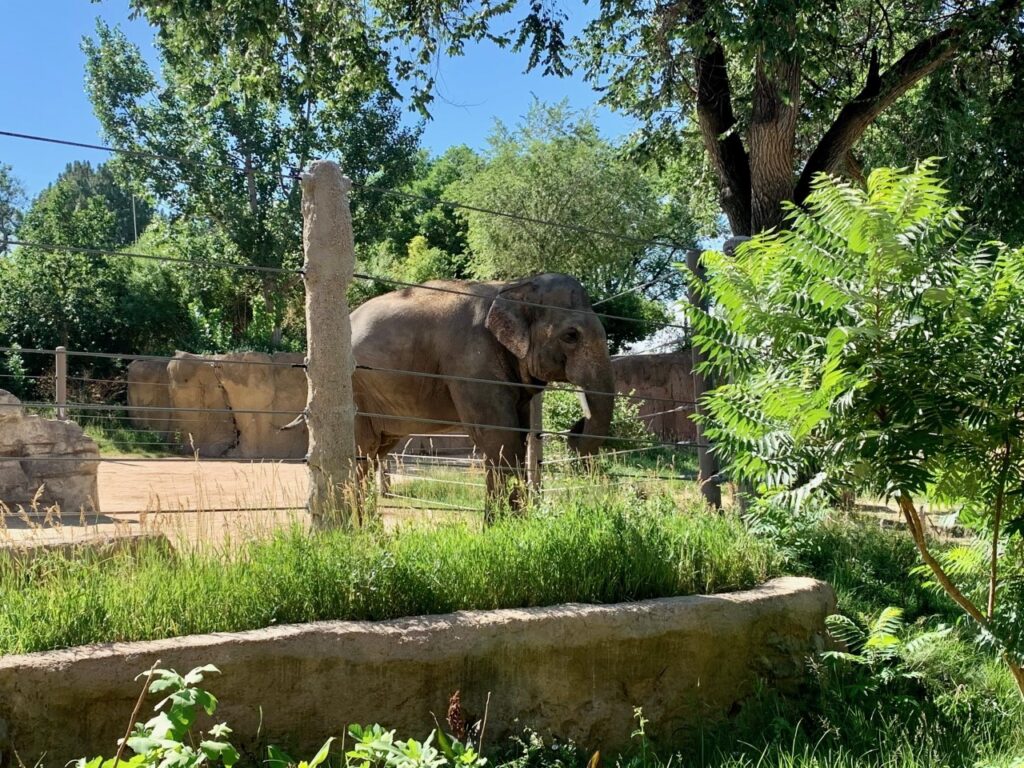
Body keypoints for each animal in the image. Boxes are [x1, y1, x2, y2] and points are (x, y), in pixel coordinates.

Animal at [350, 274, 614, 514]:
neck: (514, 286)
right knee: (361, 451)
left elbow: (519, 435)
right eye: (571, 336)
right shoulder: (471, 361)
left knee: (373, 453)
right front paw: (503, 526)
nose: (576, 428)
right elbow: (501, 438)